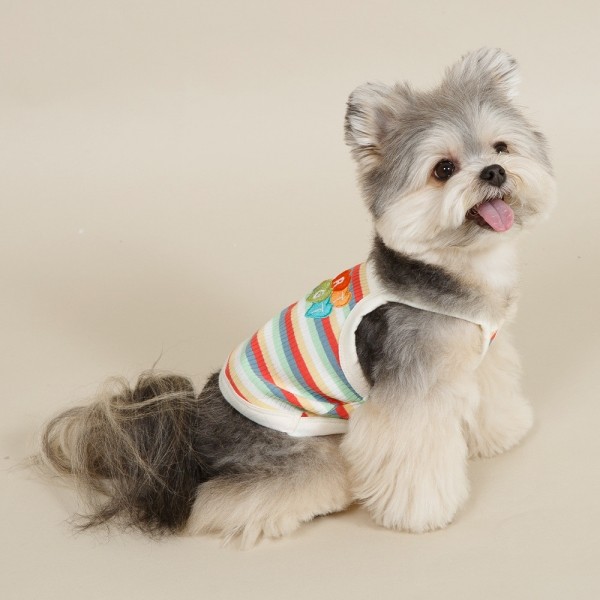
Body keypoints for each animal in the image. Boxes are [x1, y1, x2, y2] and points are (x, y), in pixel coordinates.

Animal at [39, 48, 556, 548]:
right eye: (443, 169)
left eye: (501, 147)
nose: (494, 171)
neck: (454, 269)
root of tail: (192, 434)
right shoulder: (409, 397)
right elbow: (412, 457)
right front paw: (422, 513)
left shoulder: (481, 357)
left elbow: (491, 395)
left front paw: (503, 432)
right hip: (299, 451)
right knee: (218, 502)